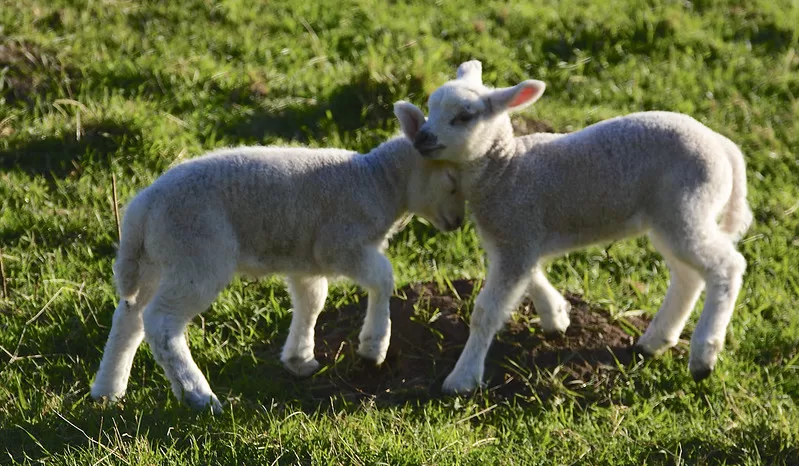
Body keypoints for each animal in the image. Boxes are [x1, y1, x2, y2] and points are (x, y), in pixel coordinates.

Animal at [90, 118, 466, 414]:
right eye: (451, 179)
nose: (459, 222)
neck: (378, 181)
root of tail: (144, 207)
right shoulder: (341, 245)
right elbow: (383, 277)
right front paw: (373, 347)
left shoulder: (307, 261)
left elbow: (312, 300)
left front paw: (299, 358)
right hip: (196, 253)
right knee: (160, 321)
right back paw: (198, 395)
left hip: (157, 260)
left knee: (129, 317)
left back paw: (108, 390)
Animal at [396, 59, 752, 394]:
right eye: (429, 109)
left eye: (464, 117)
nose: (422, 138)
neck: (505, 169)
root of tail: (723, 146)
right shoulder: (516, 237)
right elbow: (531, 273)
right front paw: (556, 315)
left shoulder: (517, 230)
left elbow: (487, 311)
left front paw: (462, 378)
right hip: (671, 216)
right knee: (688, 276)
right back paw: (654, 342)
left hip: (688, 204)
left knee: (727, 266)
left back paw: (703, 356)